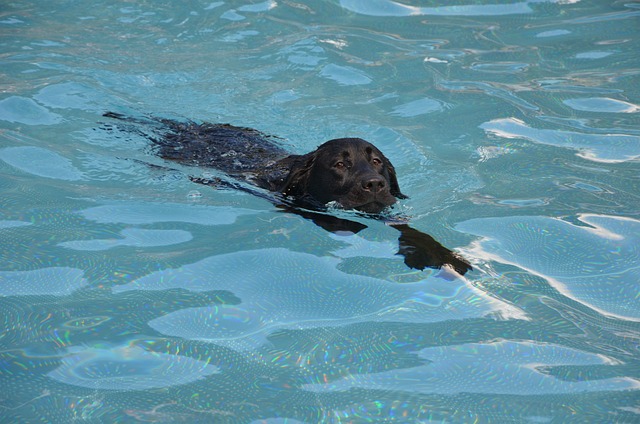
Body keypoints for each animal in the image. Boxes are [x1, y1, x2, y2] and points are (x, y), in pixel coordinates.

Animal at [100, 112, 470, 274]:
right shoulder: (303, 205)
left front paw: (440, 255)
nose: (375, 184)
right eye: (340, 164)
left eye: (377, 161)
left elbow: (412, 230)